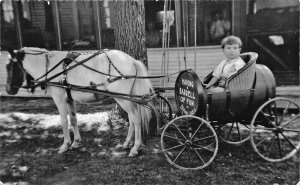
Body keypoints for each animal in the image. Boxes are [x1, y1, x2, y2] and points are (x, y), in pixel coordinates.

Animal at [5, 46, 154, 156]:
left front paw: (65, 145)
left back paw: (135, 147)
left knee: (135, 118)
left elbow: (64, 121)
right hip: (127, 98)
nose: (8, 90)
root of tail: (132, 60)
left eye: (9, 67)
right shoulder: (70, 99)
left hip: (122, 99)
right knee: (132, 119)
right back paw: (126, 143)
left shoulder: (59, 99)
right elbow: (73, 119)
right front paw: (76, 142)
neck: (51, 67)